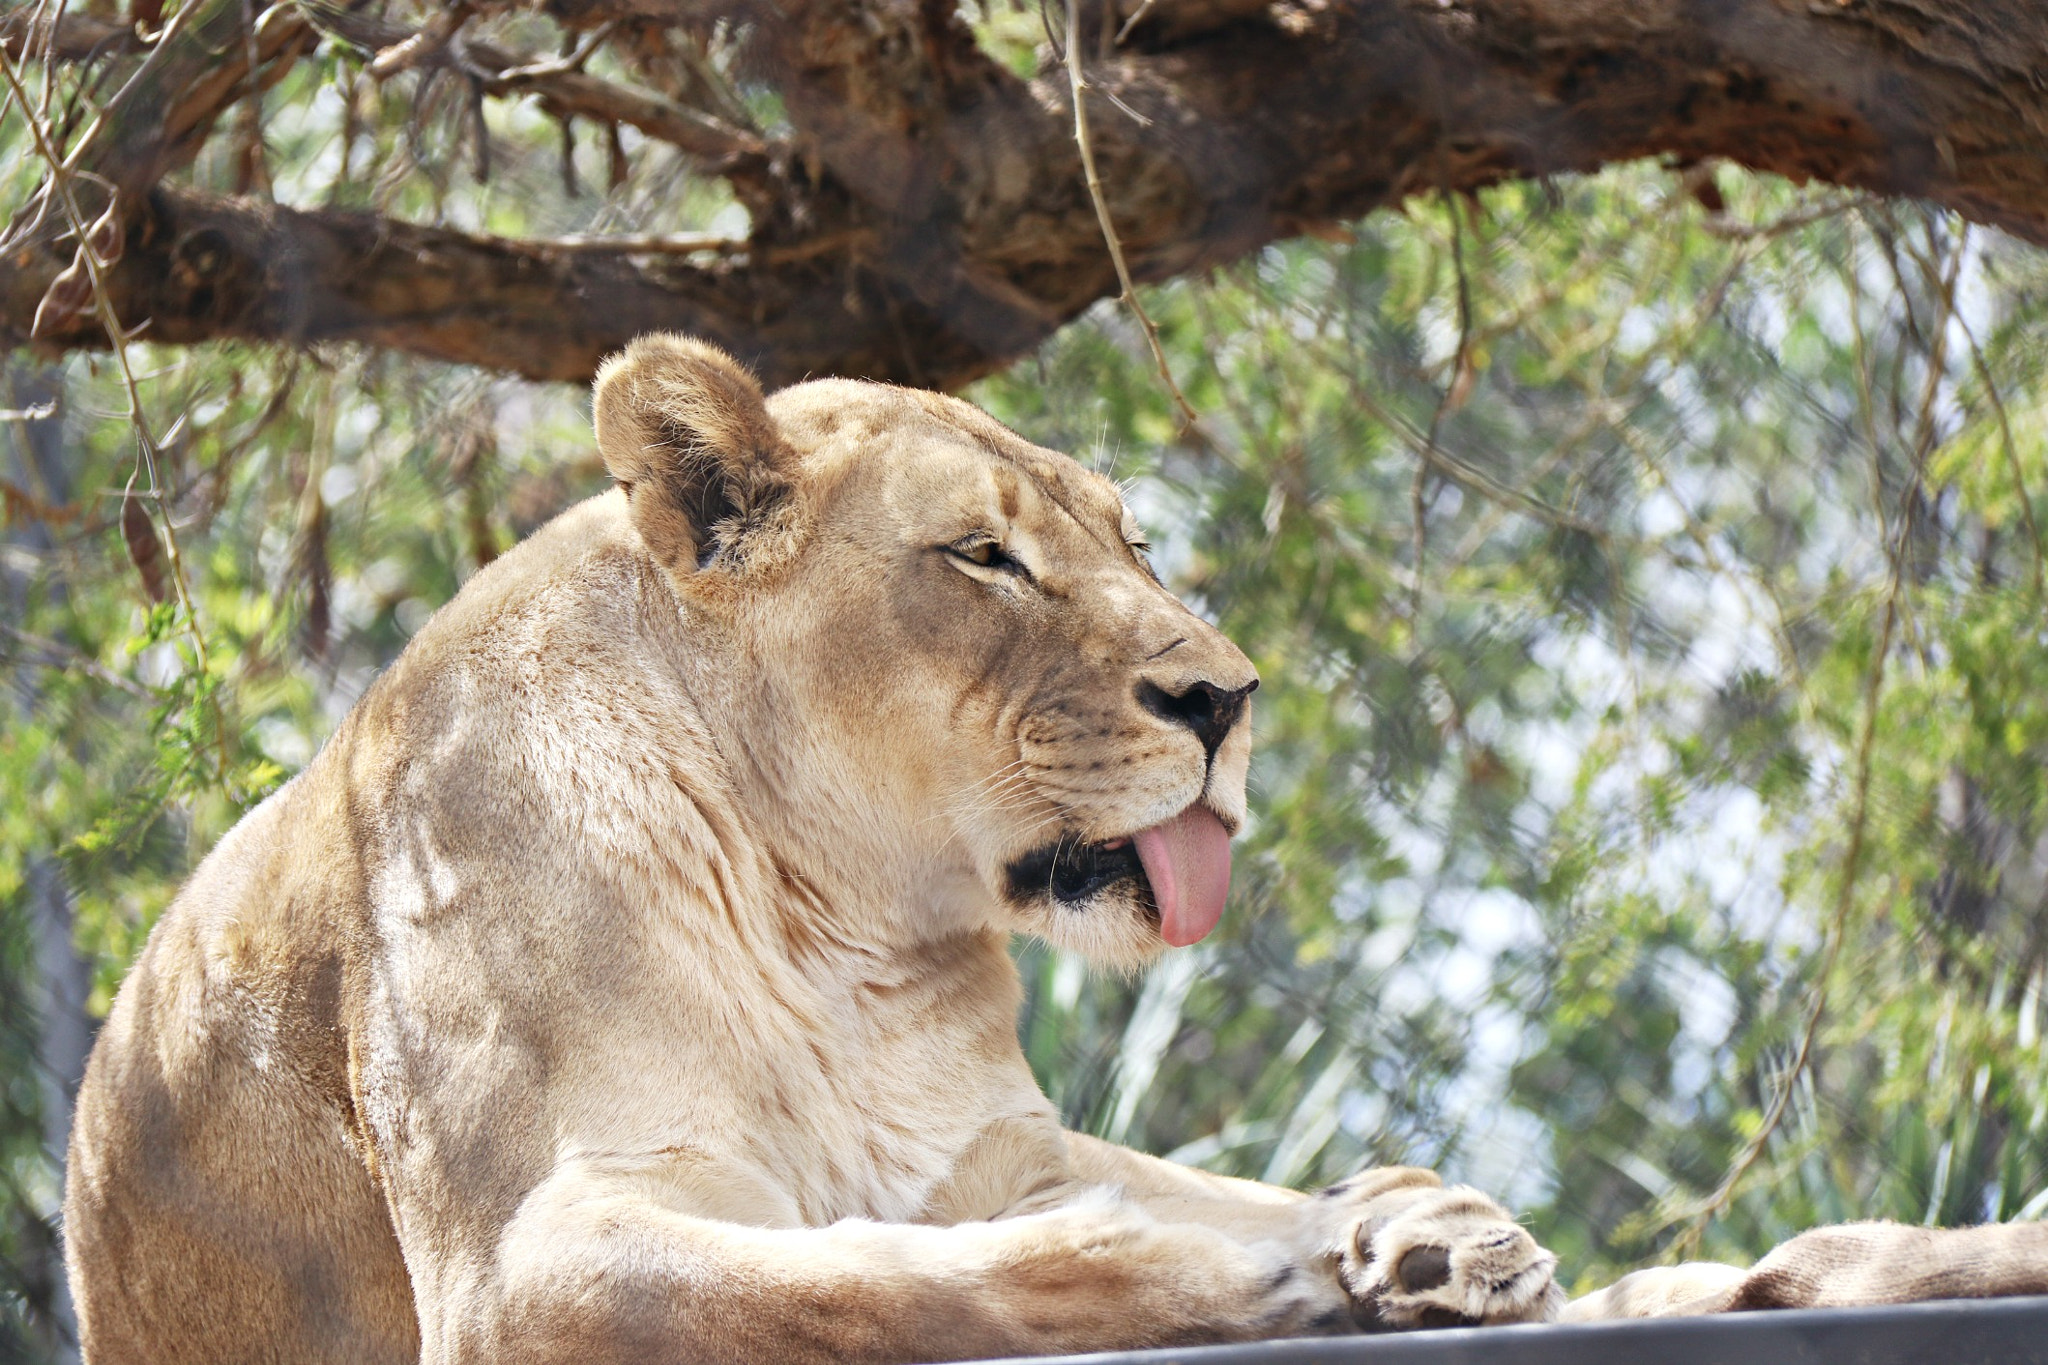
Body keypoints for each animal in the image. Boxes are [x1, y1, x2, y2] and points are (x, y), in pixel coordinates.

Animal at [63, 335, 2048, 1364]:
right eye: (984, 556)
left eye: (1128, 539)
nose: (1227, 697)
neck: (832, 933)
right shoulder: (527, 1261)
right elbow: (875, 1278)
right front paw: (1250, 1280)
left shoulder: (990, 1141)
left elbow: (1156, 1189)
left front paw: (1420, 1231)